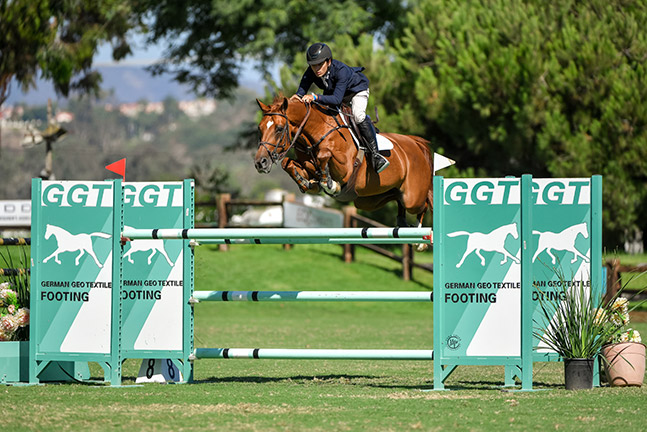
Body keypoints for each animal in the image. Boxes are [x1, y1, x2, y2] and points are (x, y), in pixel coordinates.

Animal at [254, 96, 436, 228]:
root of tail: (415, 143)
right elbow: (288, 163)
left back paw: (420, 238)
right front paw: (307, 183)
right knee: (397, 199)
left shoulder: (345, 168)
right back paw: (403, 222)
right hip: (369, 200)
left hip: (412, 197)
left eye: (279, 129)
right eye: (260, 128)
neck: (316, 130)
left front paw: (329, 183)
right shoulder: (306, 164)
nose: (260, 163)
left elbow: (323, 156)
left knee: (424, 203)